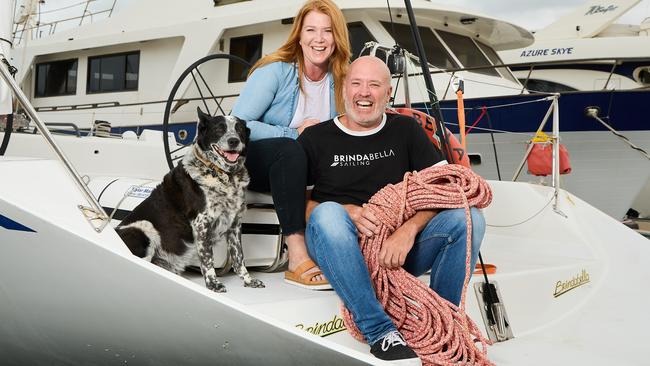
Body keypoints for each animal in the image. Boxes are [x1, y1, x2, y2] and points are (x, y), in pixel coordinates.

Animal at [116, 107, 260, 294]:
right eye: (219, 129)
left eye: (240, 129)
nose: (234, 141)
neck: (225, 176)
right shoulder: (201, 223)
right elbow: (207, 259)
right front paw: (213, 284)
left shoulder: (234, 224)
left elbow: (239, 257)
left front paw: (248, 281)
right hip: (144, 227)